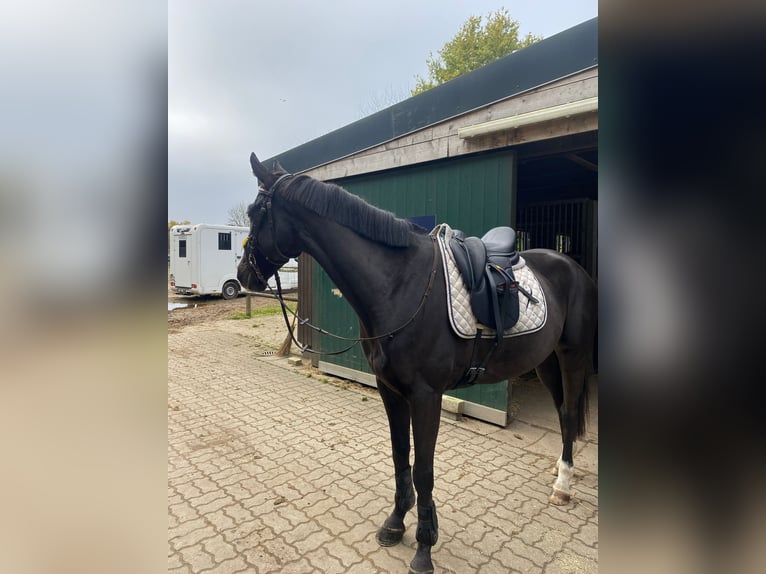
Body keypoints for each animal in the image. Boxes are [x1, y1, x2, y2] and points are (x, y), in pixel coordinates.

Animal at [238, 152, 597, 574]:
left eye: (255, 214)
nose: (244, 275)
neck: (398, 285)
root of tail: (572, 266)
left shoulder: (427, 396)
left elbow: (424, 470)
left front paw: (424, 548)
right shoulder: (390, 390)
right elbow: (400, 456)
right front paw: (396, 522)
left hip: (572, 356)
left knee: (569, 412)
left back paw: (563, 486)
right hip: (544, 360)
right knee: (561, 413)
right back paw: (558, 470)